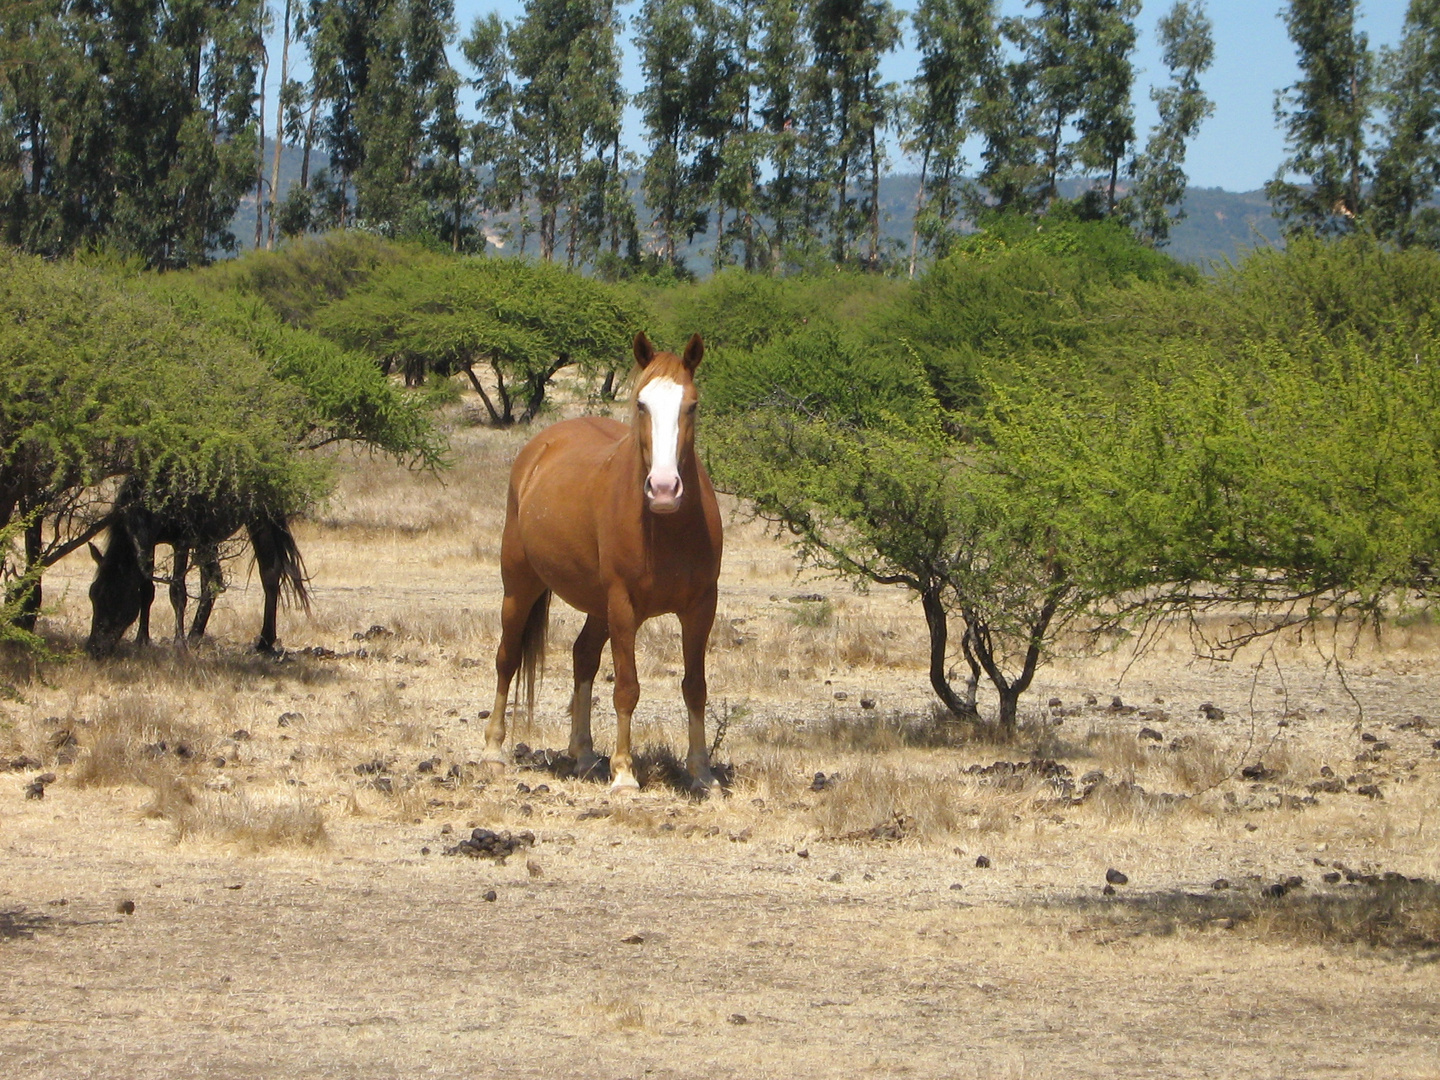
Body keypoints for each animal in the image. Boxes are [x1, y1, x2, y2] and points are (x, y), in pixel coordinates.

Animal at [84, 480, 309, 659]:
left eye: (116, 598)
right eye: (93, 595)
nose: (94, 648)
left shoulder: (181, 542)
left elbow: (177, 593)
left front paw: (178, 643)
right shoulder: (150, 544)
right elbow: (147, 591)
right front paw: (142, 639)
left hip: (259, 519)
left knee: (269, 574)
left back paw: (265, 641)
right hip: (207, 542)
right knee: (213, 581)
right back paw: (195, 634)